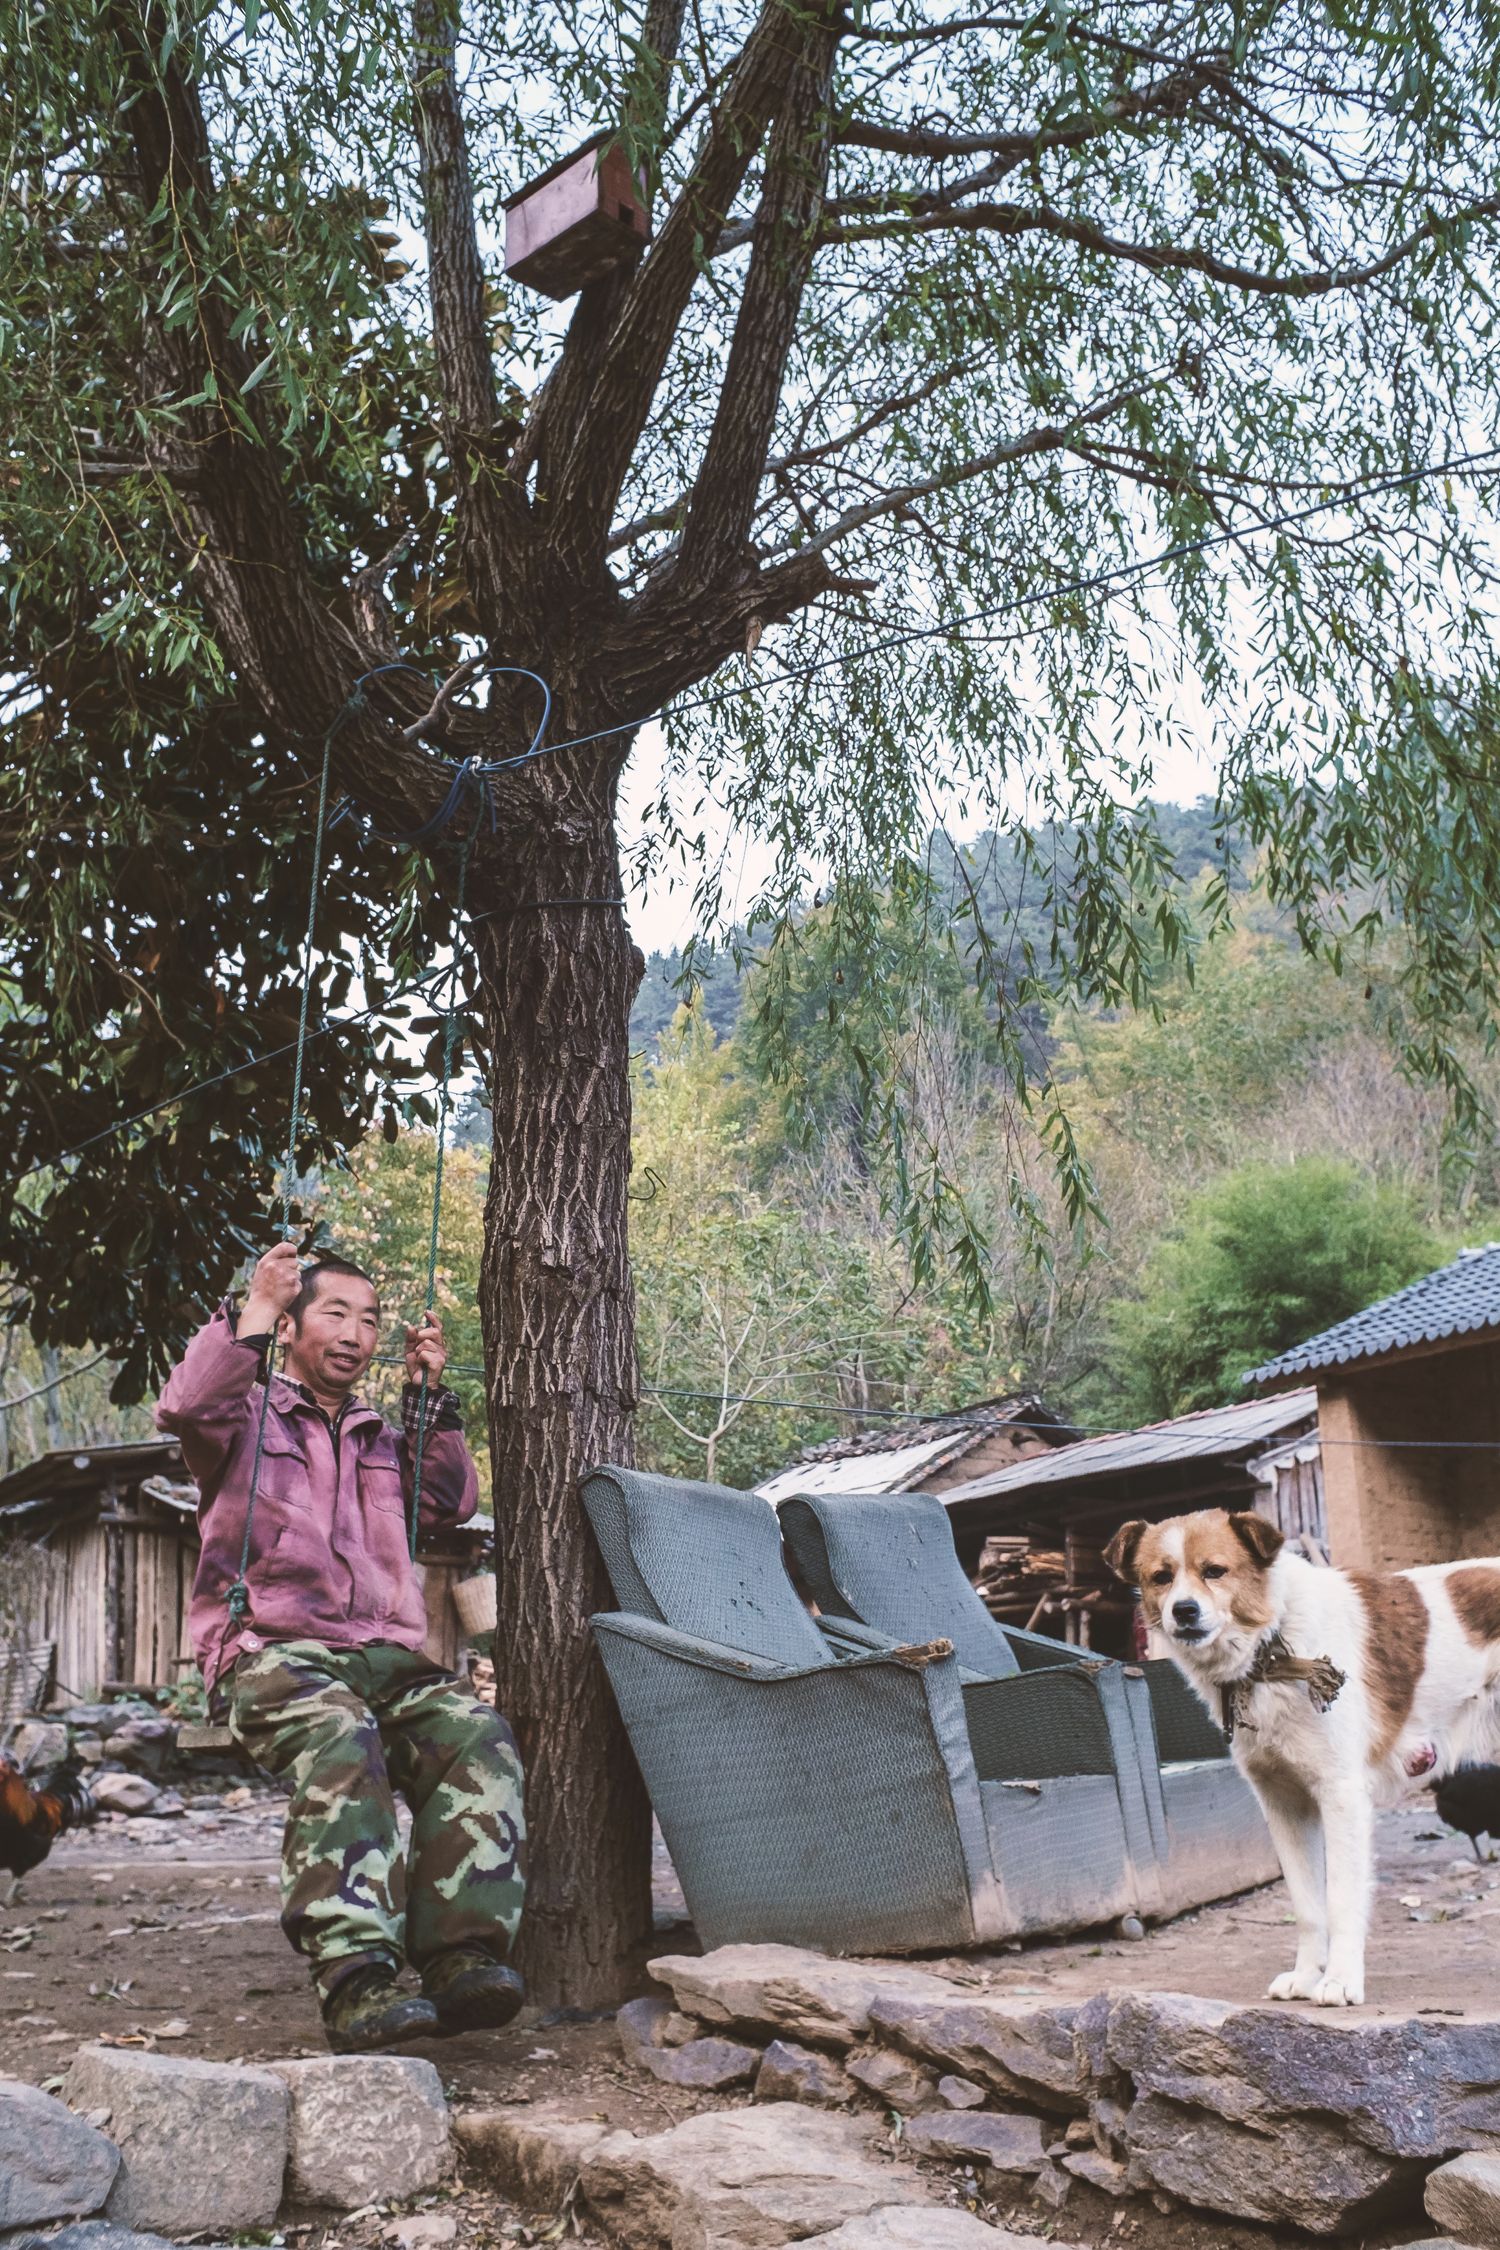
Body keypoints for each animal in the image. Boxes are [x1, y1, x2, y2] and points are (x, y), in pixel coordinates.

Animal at [1101, 1512, 1500, 2007]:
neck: (1273, 1645)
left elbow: (1341, 1900)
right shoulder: (1285, 1805)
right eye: (1161, 1577)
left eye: (1214, 1570)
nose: (1184, 1611)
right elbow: (1308, 1906)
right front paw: (1307, 1976)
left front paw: (1341, 1980)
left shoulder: (1341, 1795)